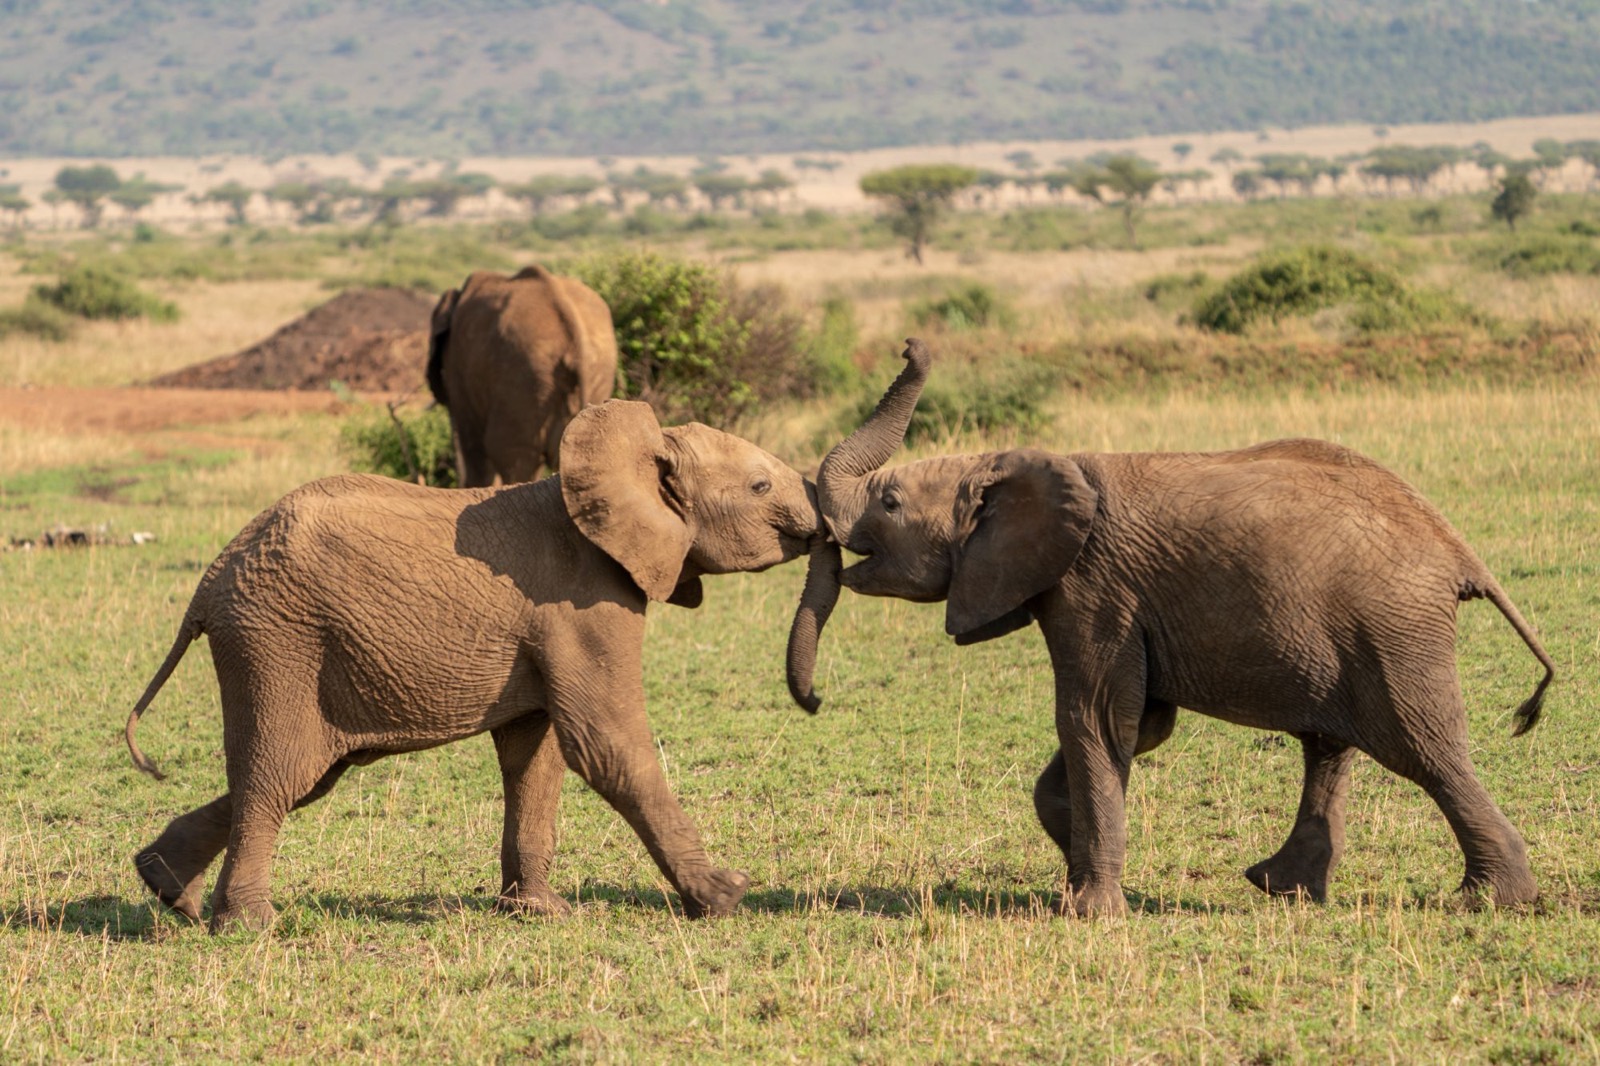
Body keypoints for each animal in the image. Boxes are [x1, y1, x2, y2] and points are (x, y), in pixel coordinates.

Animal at [126, 400, 835, 932]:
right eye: (760, 486)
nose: (815, 700)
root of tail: (210, 581)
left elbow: (536, 756)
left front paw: (540, 913)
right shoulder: (586, 601)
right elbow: (604, 744)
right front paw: (726, 896)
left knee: (304, 777)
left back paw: (166, 887)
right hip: (277, 644)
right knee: (280, 776)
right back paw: (247, 926)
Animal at [785, 340, 1556, 916]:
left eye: (888, 502)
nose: (911, 344)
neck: (1005, 464)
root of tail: (1459, 551)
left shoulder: (1094, 586)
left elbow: (1095, 718)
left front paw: (1086, 911)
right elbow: (1139, 726)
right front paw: (1073, 869)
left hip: (1393, 629)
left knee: (1424, 750)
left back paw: (1490, 901)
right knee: (1331, 746)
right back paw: (1283, 889)